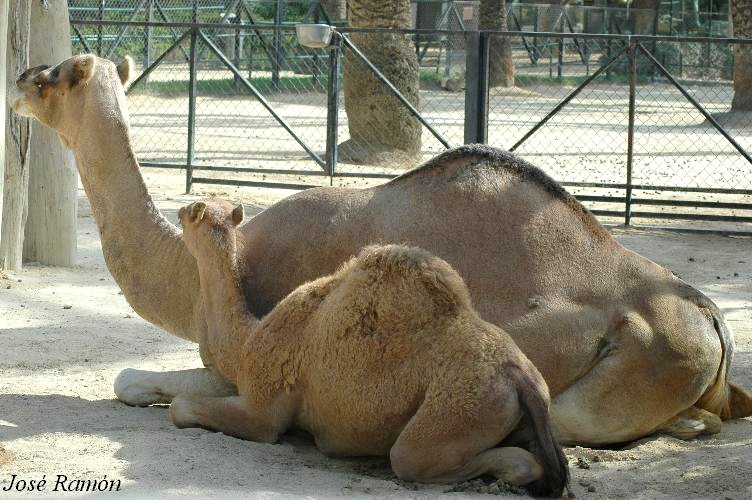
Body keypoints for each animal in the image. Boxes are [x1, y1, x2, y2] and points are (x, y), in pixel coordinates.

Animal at [10, 53, 752, 446]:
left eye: (58, 77)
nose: (19, 77)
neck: (203, 274)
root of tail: (712, 319)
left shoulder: (256, 353)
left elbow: (134, 379)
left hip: (633, 363)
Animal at [172, 198, 568, 496]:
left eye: (192, 211)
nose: (179, 209)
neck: (246, 343)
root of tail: (520, 378)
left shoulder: (264, 410)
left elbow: (181, 407)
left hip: (457, 411)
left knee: (414, 457)